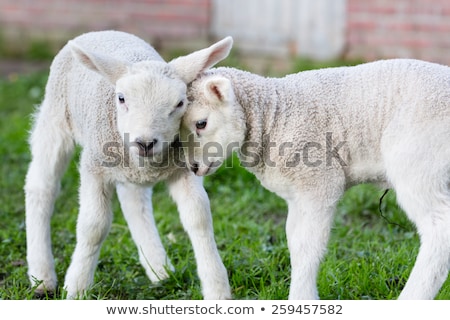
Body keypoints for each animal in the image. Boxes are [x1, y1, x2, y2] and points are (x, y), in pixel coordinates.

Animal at [23, 30, 232, 300]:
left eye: (180, 103)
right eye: (121, 98)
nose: (145, 142)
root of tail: (103, 31)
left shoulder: (183, 169)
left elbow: (199, 217)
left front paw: (217, 289)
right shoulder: (94, 166)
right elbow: (94, 225)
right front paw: (77, 288)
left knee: (134, 202)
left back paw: (159, 270)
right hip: (55, 117)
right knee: (41, 187)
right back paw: (42, 277)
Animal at [181, 60, 450, 300]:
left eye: (201, 123)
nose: (193, 167)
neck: (274, 114)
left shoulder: (319, 183)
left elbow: (307, 247)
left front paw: (302, 299)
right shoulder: (296, 195)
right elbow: (293, 242)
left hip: (418, 162)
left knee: (440, 227)